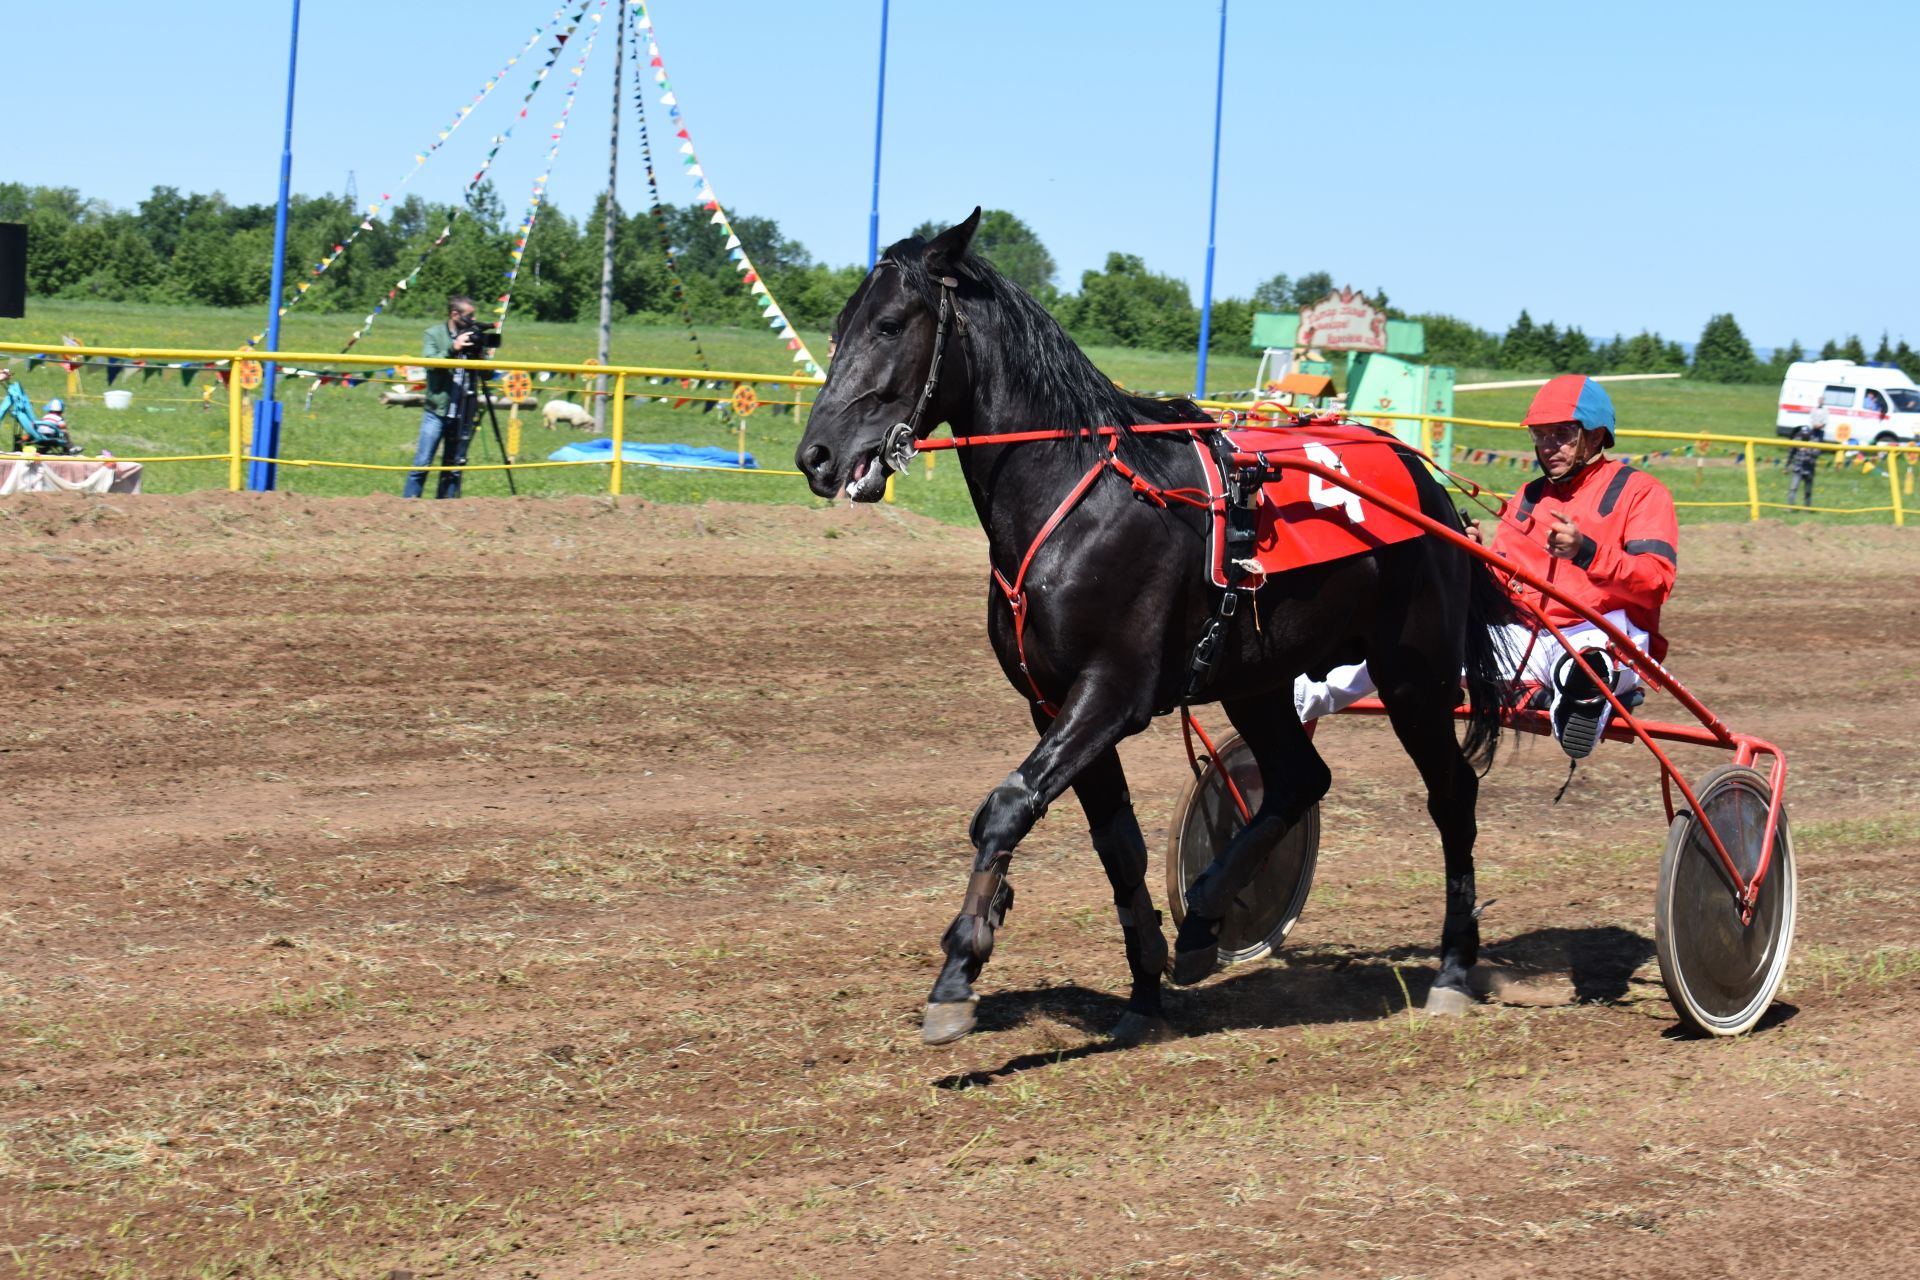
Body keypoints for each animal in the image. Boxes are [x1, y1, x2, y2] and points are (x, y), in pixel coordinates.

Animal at [794, 210, 1512, 1043]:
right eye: (839, 326)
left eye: (888, 323)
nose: (816, 455)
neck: (1077, 490)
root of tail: (1425, 478)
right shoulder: (1052, 700)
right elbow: (1117, 847)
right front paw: (1143, 988)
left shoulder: (1113, 691)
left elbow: (1004, 808)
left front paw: (958, 970)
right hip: (1257, 676)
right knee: (1300, 778)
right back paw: (1204, 919)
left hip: (1413, 674)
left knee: (1452, 795)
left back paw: (1454, 968)